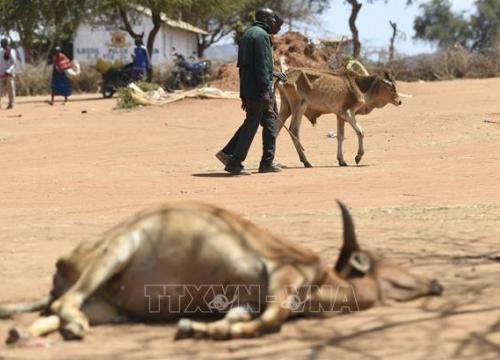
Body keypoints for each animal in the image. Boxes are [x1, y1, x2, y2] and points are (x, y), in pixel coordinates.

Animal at [2, 201, 442, 344]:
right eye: (384, 263)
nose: (435, 282)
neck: (323, 283)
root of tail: (65, 262)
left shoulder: (248, 300)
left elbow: (237, 317)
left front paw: (197, 328)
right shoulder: (284, 280)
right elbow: (269, 322)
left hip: (108, 308)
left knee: (54, 310)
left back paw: (23, 333)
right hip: (116, 252)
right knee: (65, 302)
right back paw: (69, 329)